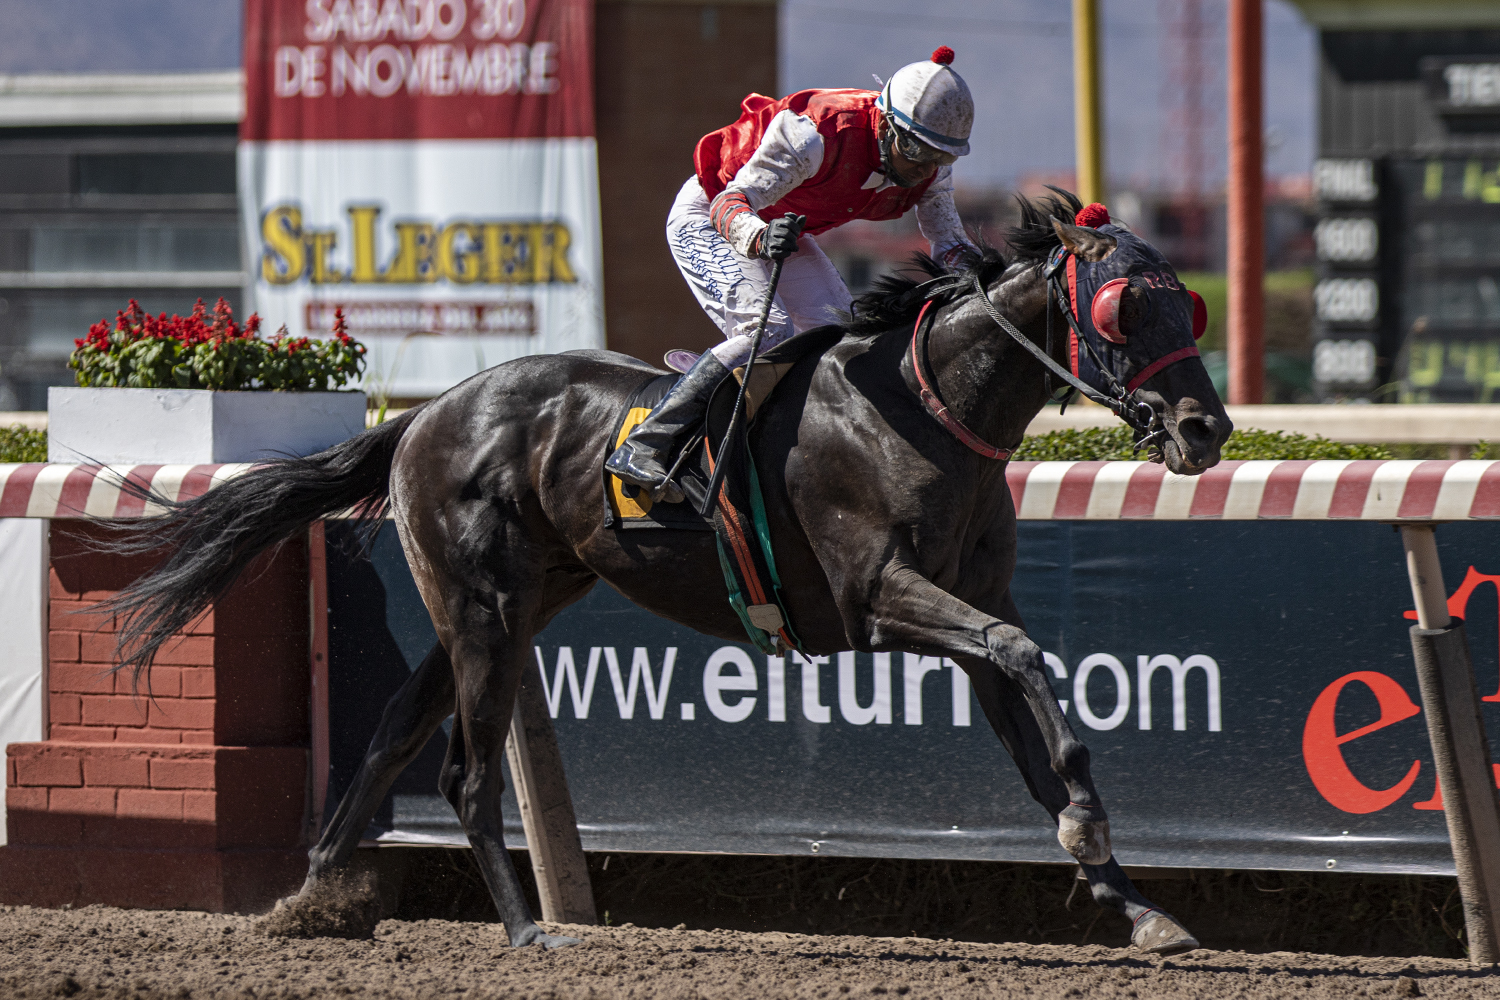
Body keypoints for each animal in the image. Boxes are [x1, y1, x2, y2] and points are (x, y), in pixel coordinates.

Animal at [100, 190, 1230, 955]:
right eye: (1124, 310)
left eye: (1191, 307)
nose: (1206, 429)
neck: (921, 406)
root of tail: (421, 415)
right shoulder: (879, 601)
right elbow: (1024, 657)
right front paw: (1094, 835)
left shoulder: (969, 605)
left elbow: (1033, 720)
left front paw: (1134, 900)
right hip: (486, 608)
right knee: (466, 770)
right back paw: (528, 930)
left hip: (509, 601)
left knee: (390, 734)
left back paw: (311, 899)